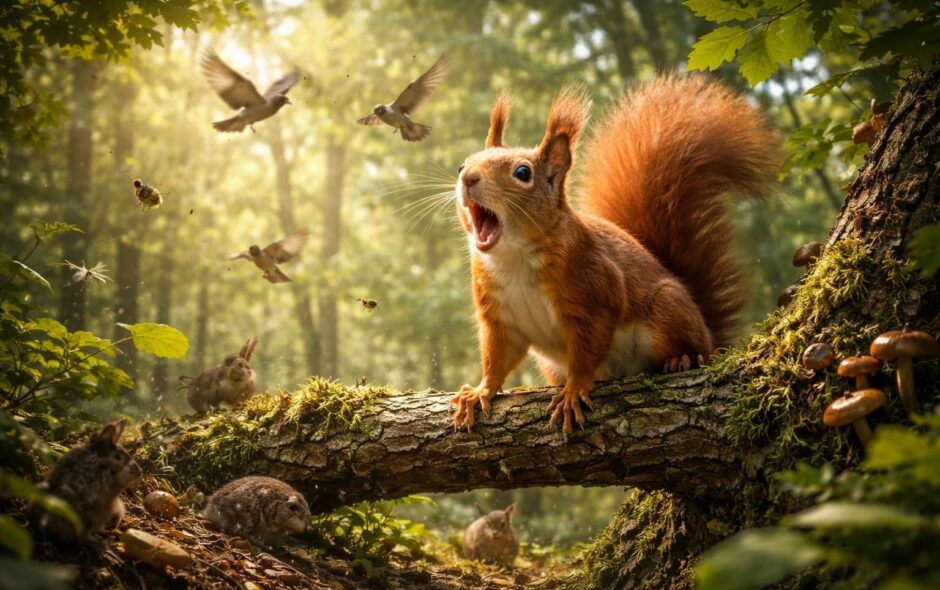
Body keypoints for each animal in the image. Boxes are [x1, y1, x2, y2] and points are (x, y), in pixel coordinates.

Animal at [450, 75, 781, 435]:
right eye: (462, 163)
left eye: (523, 173)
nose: (468, 177)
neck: (515, 257)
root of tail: (708, 330)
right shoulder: (499, 317)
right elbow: (498, 358)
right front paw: (480, 391)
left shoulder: (593, 293)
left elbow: (587, 351)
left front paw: (573, 391)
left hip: (668, 310)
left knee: (696, 347)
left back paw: (685, 358)